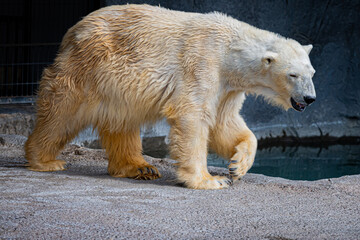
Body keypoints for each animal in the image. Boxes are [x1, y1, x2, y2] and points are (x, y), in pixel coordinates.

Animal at [24, 4, 316, 189]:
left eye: (312, 72)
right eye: (292, 75)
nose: (310, 98)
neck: (229, 52)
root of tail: (73, 31)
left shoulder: (228, 87)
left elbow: (225, 123)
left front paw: (237, 165)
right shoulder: (203, 64)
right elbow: (193, 115)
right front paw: (209, 180)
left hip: (116, 83)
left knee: (122, 119)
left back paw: (139, 167)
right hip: (89, 65)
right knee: (63, 108)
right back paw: (44, 160)